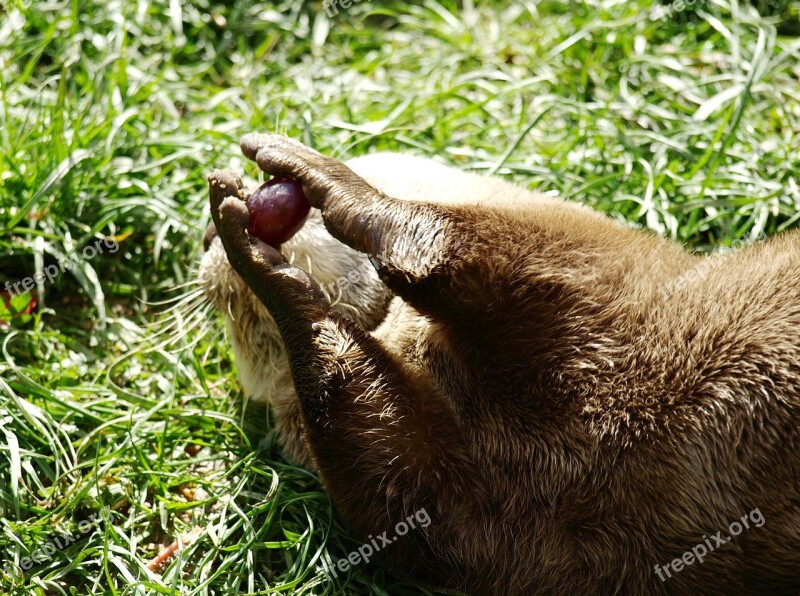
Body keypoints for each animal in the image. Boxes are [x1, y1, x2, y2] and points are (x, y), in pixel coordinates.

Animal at [198, 135, 800, 596]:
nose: (205, 238)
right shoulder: (497, 533)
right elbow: (399, 483)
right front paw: (263, 265)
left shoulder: (596, 263)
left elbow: (461, 246)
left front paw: (322, 181)